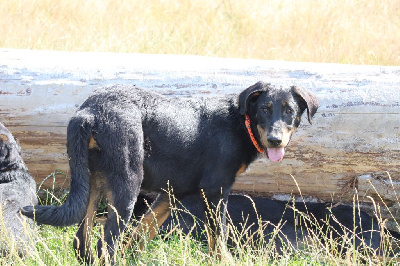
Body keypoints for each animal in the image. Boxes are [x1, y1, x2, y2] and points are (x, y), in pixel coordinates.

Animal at [21, 81, 318, 262]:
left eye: (289, 111)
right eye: (265, 109)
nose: (275, 140)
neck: (240, 122)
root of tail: (89, 111)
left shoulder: (170, 194)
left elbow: (140, 235)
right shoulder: (215, 192)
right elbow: (219, 241)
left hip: (93, 183)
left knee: (82, 241)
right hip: (127, 186)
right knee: (105, 245)